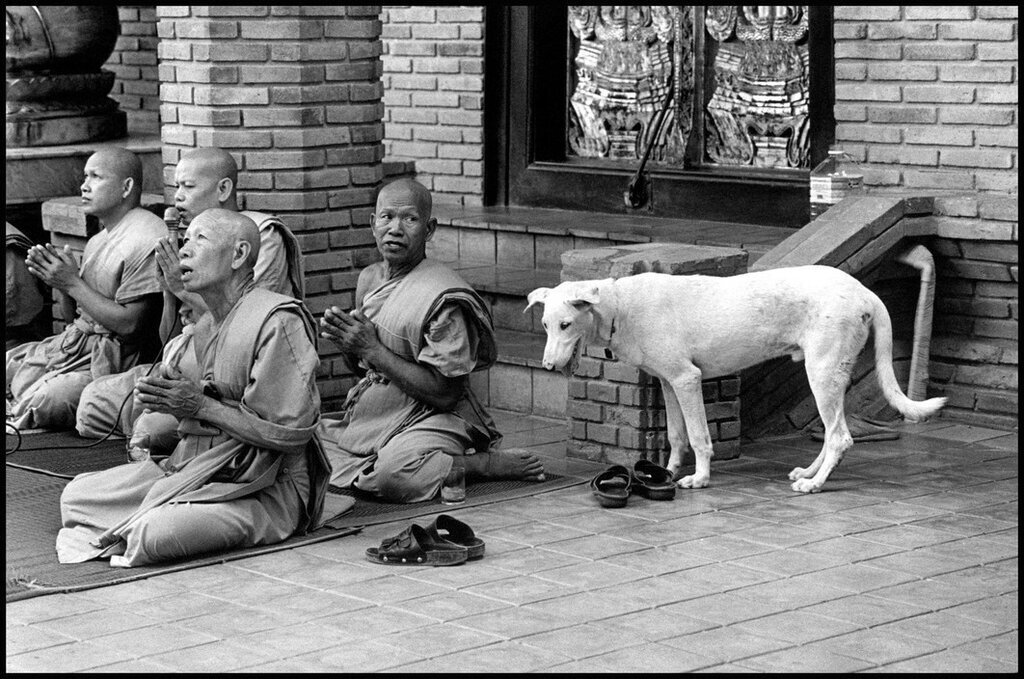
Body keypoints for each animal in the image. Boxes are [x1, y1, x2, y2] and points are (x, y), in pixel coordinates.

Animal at [532, 266, 946, 493]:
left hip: (822, 372)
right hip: (829, 375)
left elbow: (699, 437)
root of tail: (863, 292)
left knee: (840, 436)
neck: (620, 306)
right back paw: (811, 472)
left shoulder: (687, 379)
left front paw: (699, 479)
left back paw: (814, 484)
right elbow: (676, 435)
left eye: (566, 324)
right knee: (833, 435)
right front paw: (666, 473)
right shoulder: (668, 383)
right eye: (546, 325)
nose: (548, 366)